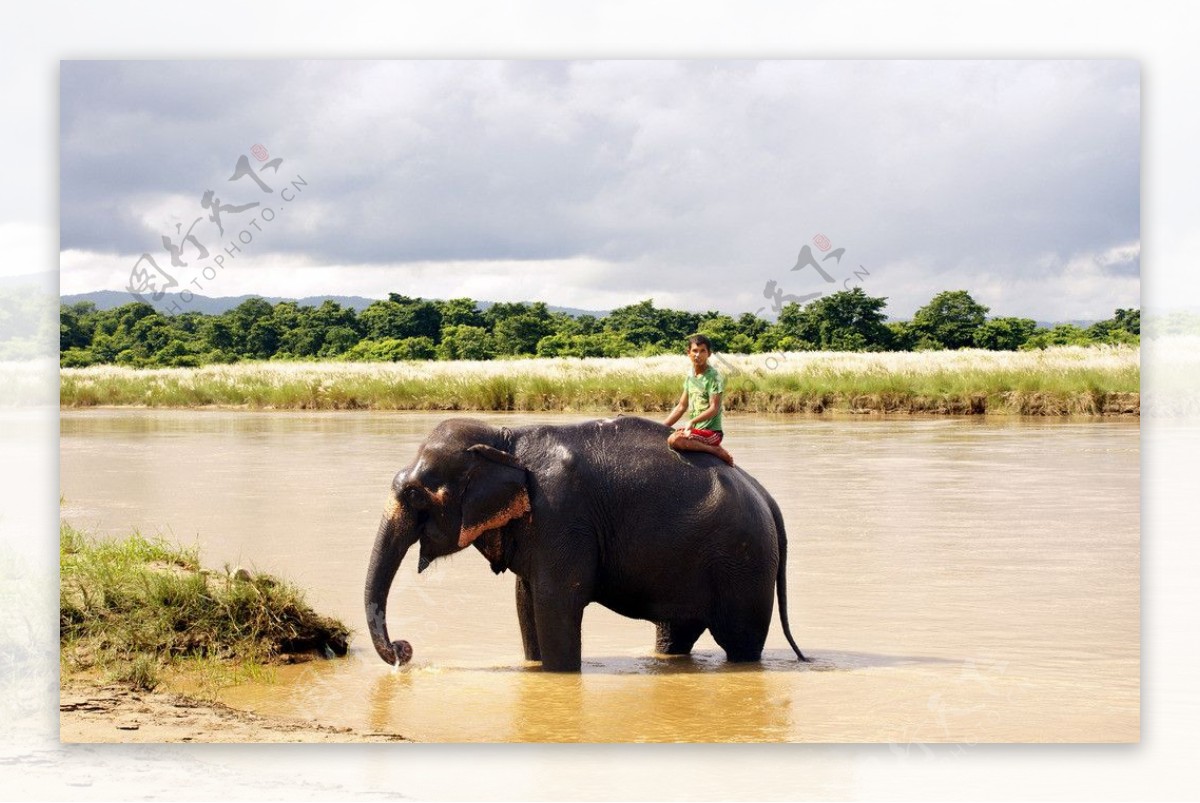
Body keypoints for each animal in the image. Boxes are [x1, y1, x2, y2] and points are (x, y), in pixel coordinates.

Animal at [364, 412, 806, 672]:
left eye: (416, 496)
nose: (403, 650)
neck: (506, 437)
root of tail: (766, 496)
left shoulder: (561, 514)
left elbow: (555, 601)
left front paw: (559, 676)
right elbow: (526, 601)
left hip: (744, 564)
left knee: (741, 640)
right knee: (675, 633)